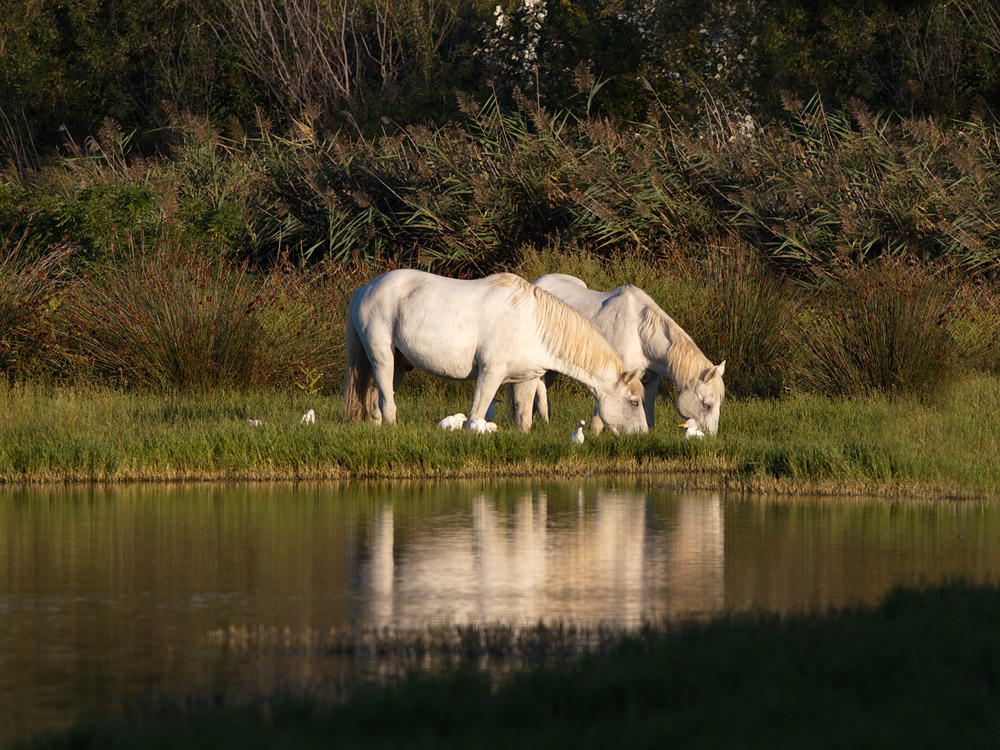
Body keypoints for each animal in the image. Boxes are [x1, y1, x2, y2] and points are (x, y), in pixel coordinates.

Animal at [344, 268, 644, 434]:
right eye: (634, 402)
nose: (642, 433)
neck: (532, 324)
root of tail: (364, 288)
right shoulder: (490, 373)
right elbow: (476, 414)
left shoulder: (527, 379)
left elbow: (524, 418)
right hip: (382, 357)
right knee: (386, 399)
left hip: (399, 364)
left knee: (376, 398)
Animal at [512, 274, 724, 434]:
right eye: (707, 405)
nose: (709, 437)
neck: (639, 334)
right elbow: (599, 418)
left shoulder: (650, 381)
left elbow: (648, 410)